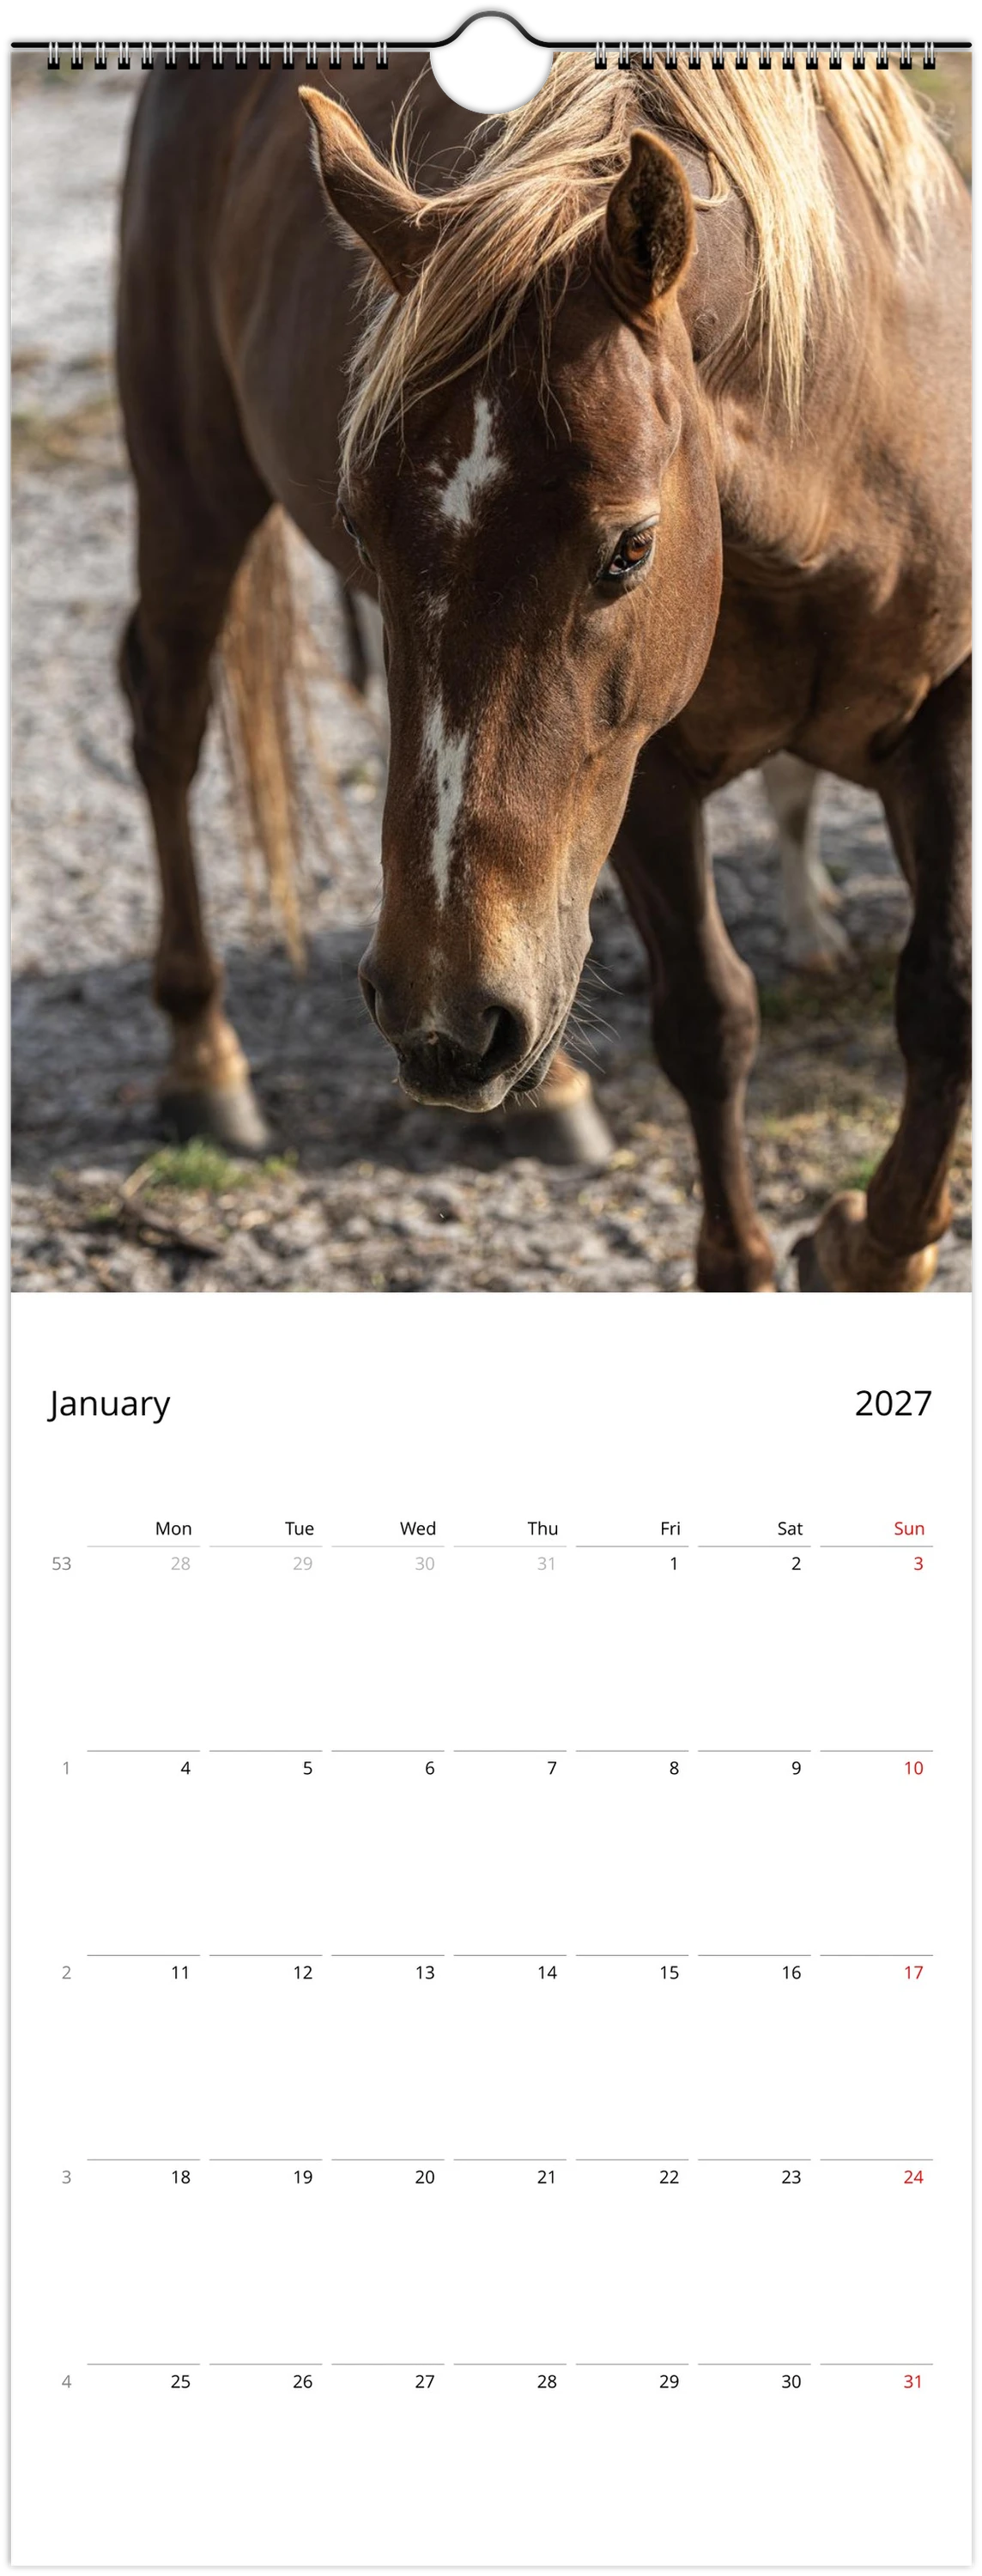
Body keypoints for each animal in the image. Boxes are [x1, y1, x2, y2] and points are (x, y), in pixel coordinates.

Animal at [117, 51, 971, 1289]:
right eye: (359, 528)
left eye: (629, 549)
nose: (436, 1011)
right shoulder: (647, 769)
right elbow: (708, 1022)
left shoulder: (945, 714)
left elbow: (943, 995)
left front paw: (875, 1246)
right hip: (188, 482)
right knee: (168, 717)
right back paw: (202, 1060)